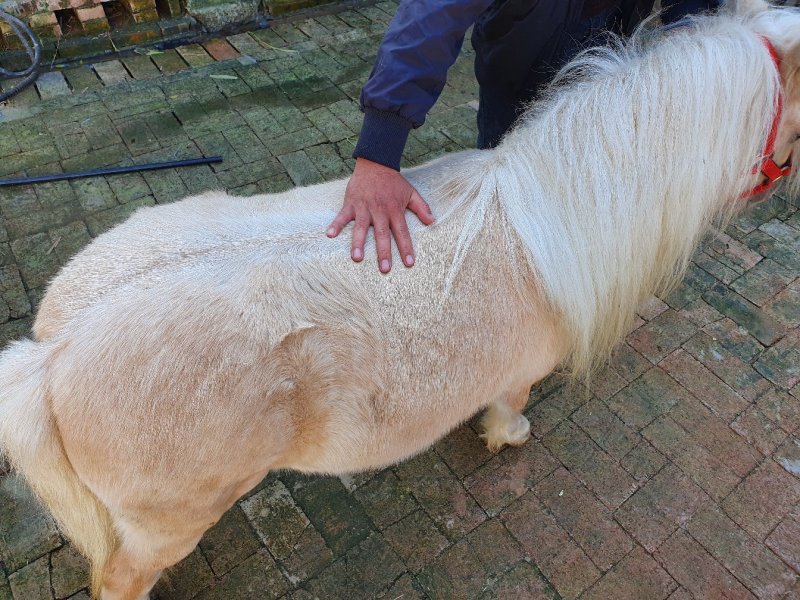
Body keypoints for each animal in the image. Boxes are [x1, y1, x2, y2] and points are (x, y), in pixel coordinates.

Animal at [1, 1, 799, 598]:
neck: (549, 217)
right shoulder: (519, 370)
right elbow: (510, 405)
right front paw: (507, 435)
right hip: (170, 521)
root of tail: (52, 353)